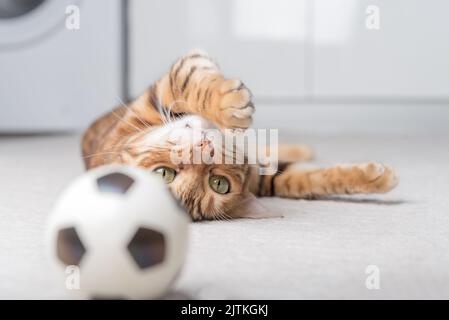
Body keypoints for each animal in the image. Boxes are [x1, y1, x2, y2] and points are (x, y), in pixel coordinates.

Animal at [82, 50, 398, 221]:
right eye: (220, 185)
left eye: (163, 174)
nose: (204, 147)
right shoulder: (268, 180)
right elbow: (306, 181)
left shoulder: (158, 96)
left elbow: (190, 81)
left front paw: (227, 103)